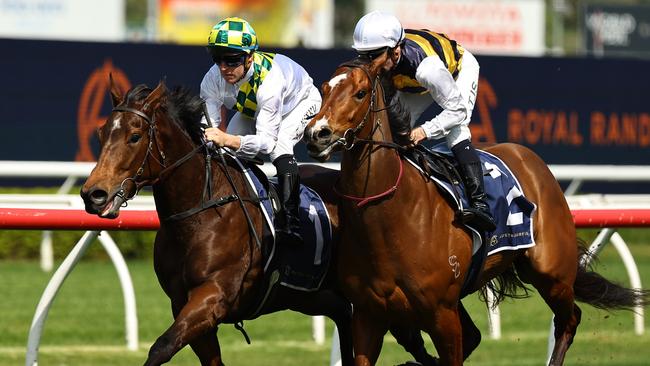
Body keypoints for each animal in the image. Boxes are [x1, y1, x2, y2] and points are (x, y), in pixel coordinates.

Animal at [82, 78, 436, 364]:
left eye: (135, 136)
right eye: (101, 132)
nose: (93, 194)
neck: (200, 212)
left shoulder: (213, 297)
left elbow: (161, 347)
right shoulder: (183, 304)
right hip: (315, 296)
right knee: (348, 320)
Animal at [302, 53, 644, 364]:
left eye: (360, 93)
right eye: (324, 88)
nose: (317, 134)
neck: (390, 217)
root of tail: (530, 158)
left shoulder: (441, 313)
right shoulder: (367, 316)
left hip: (552, 273)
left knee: (569, 320)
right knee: (480, 335)